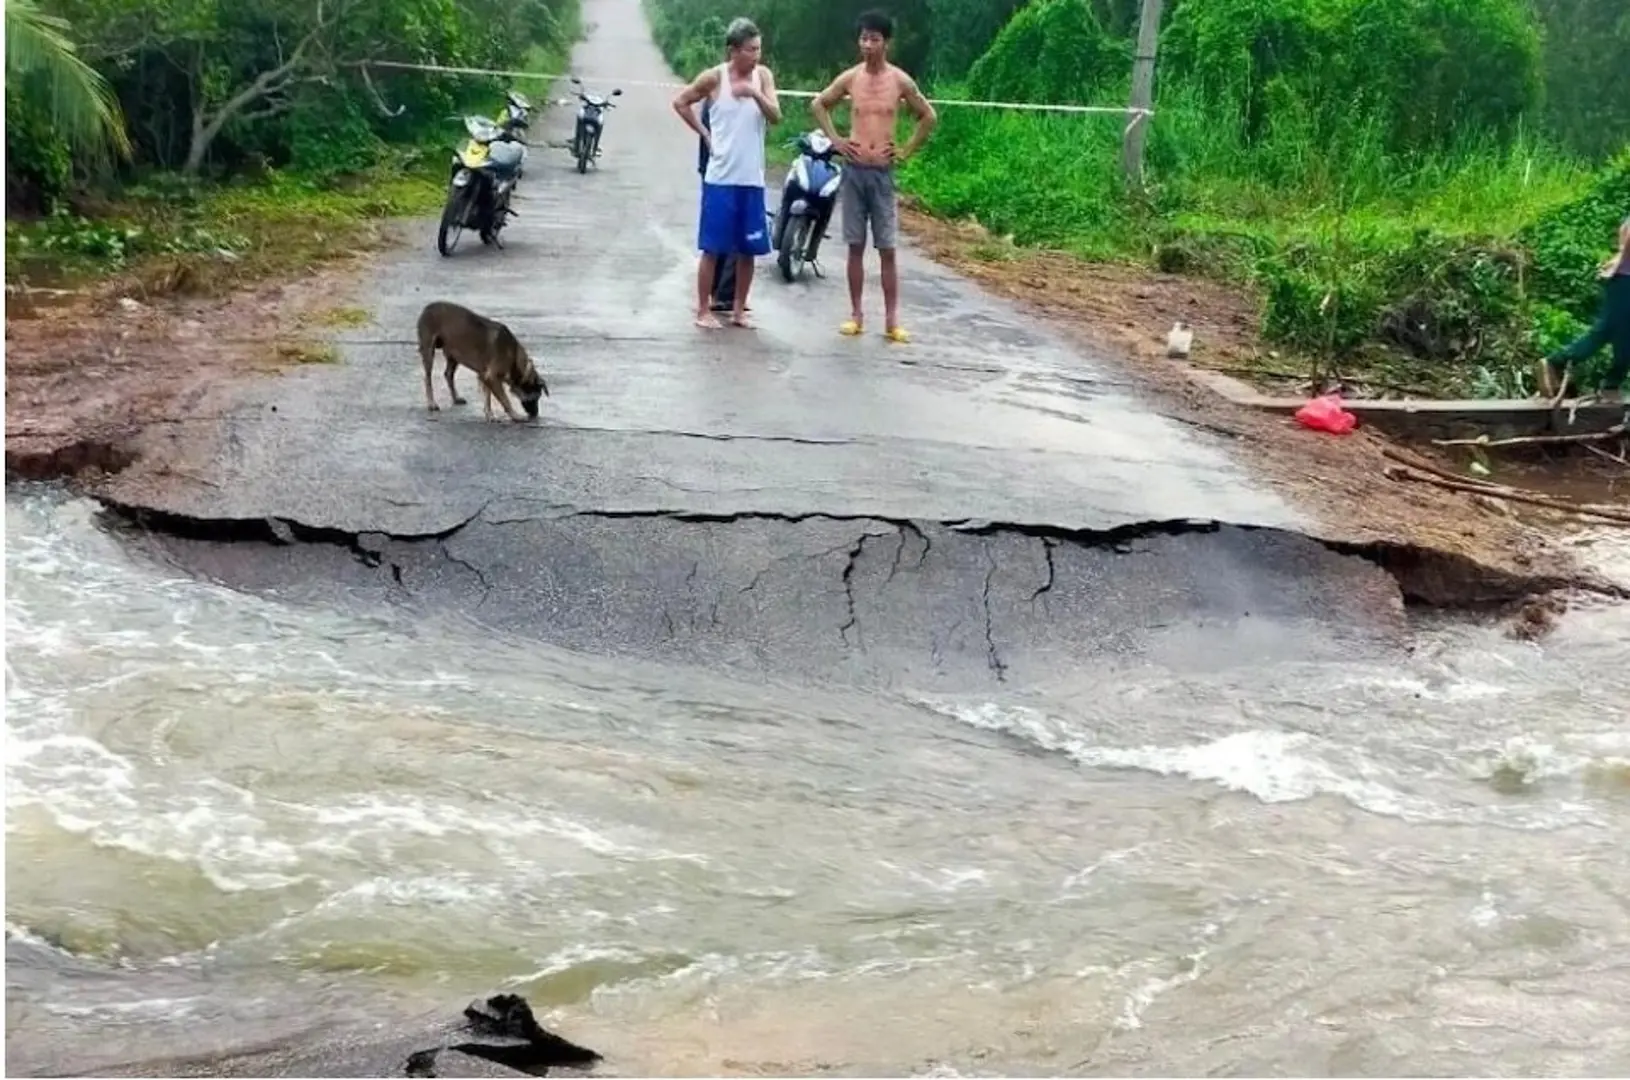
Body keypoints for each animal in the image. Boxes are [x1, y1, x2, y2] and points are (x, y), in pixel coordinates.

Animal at [417, 304, 550, 426]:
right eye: (536, 397)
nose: (535, 415)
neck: (514, 357)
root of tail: (428, 307)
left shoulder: (485, 377)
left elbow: (487, 397)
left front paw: (489, 415)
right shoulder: (492, 377)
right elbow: (505, 400)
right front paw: (515, 416)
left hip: (453, 354)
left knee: (448, 374)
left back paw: (456, 398)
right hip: (429, 349)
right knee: (427, 378)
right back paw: (432, 403)